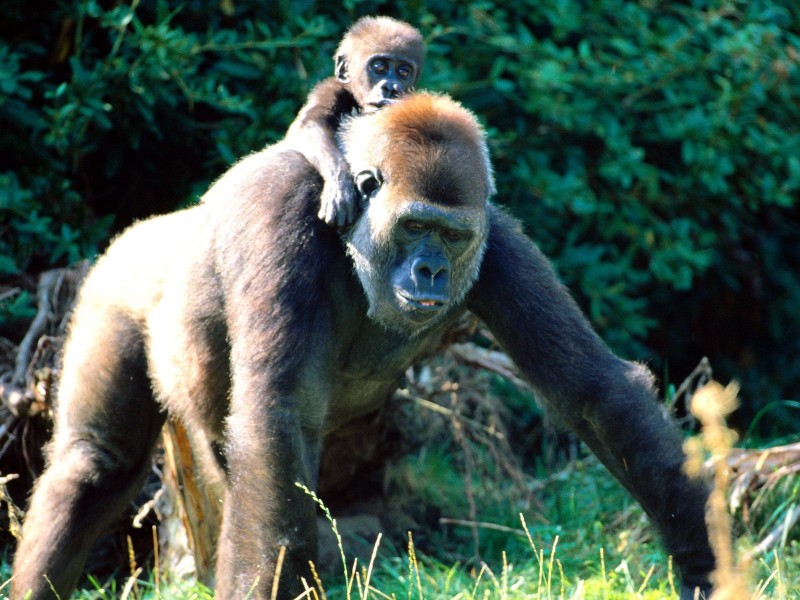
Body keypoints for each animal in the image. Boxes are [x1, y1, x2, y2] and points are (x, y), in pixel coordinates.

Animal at [10, 91, 712, 596]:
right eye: (416, 227)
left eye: (451, 236)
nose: (430, 272)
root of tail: (150, 228)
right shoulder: (279, 210)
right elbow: (277, 414)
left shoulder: (497, 242)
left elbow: (594, 391)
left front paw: (704, 560)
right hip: (114, 282)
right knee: (94, 462)